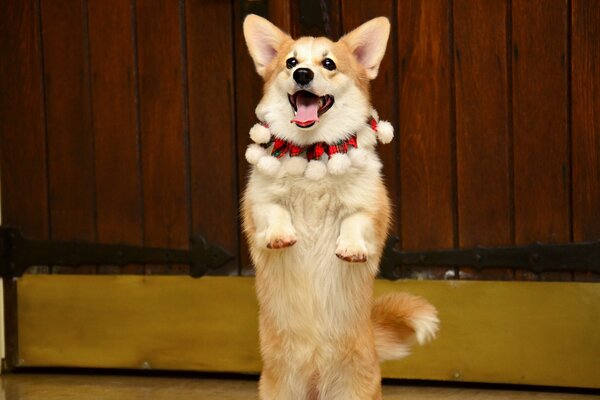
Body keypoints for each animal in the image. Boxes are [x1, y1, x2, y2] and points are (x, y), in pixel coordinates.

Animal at [241, 14, 438, 400]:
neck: (311, 154)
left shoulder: (371, 208)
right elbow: (275, 210)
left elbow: (354, 221)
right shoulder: (258, 203)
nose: (302, 74)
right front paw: (281, 234)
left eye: (329, 64)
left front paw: (350, 248)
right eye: (290, 62)